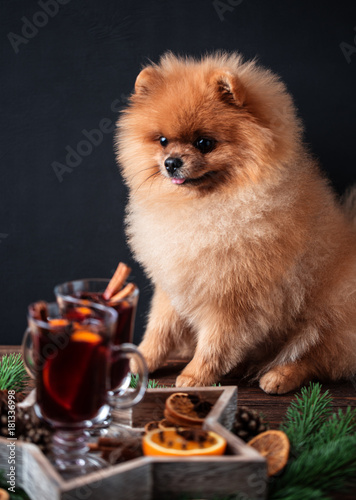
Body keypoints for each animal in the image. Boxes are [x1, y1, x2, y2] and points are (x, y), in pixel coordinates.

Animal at [116, 52, 356, 392]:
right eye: (162, 141)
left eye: (204, 143)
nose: (171, 162)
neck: (204, 206)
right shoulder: (175, 283)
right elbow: (159, 329)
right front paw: (141, 360)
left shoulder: (233, 297)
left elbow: (216, 343)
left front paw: (194, 376)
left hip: (332, 314)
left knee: (316, 357)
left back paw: (279, 376)